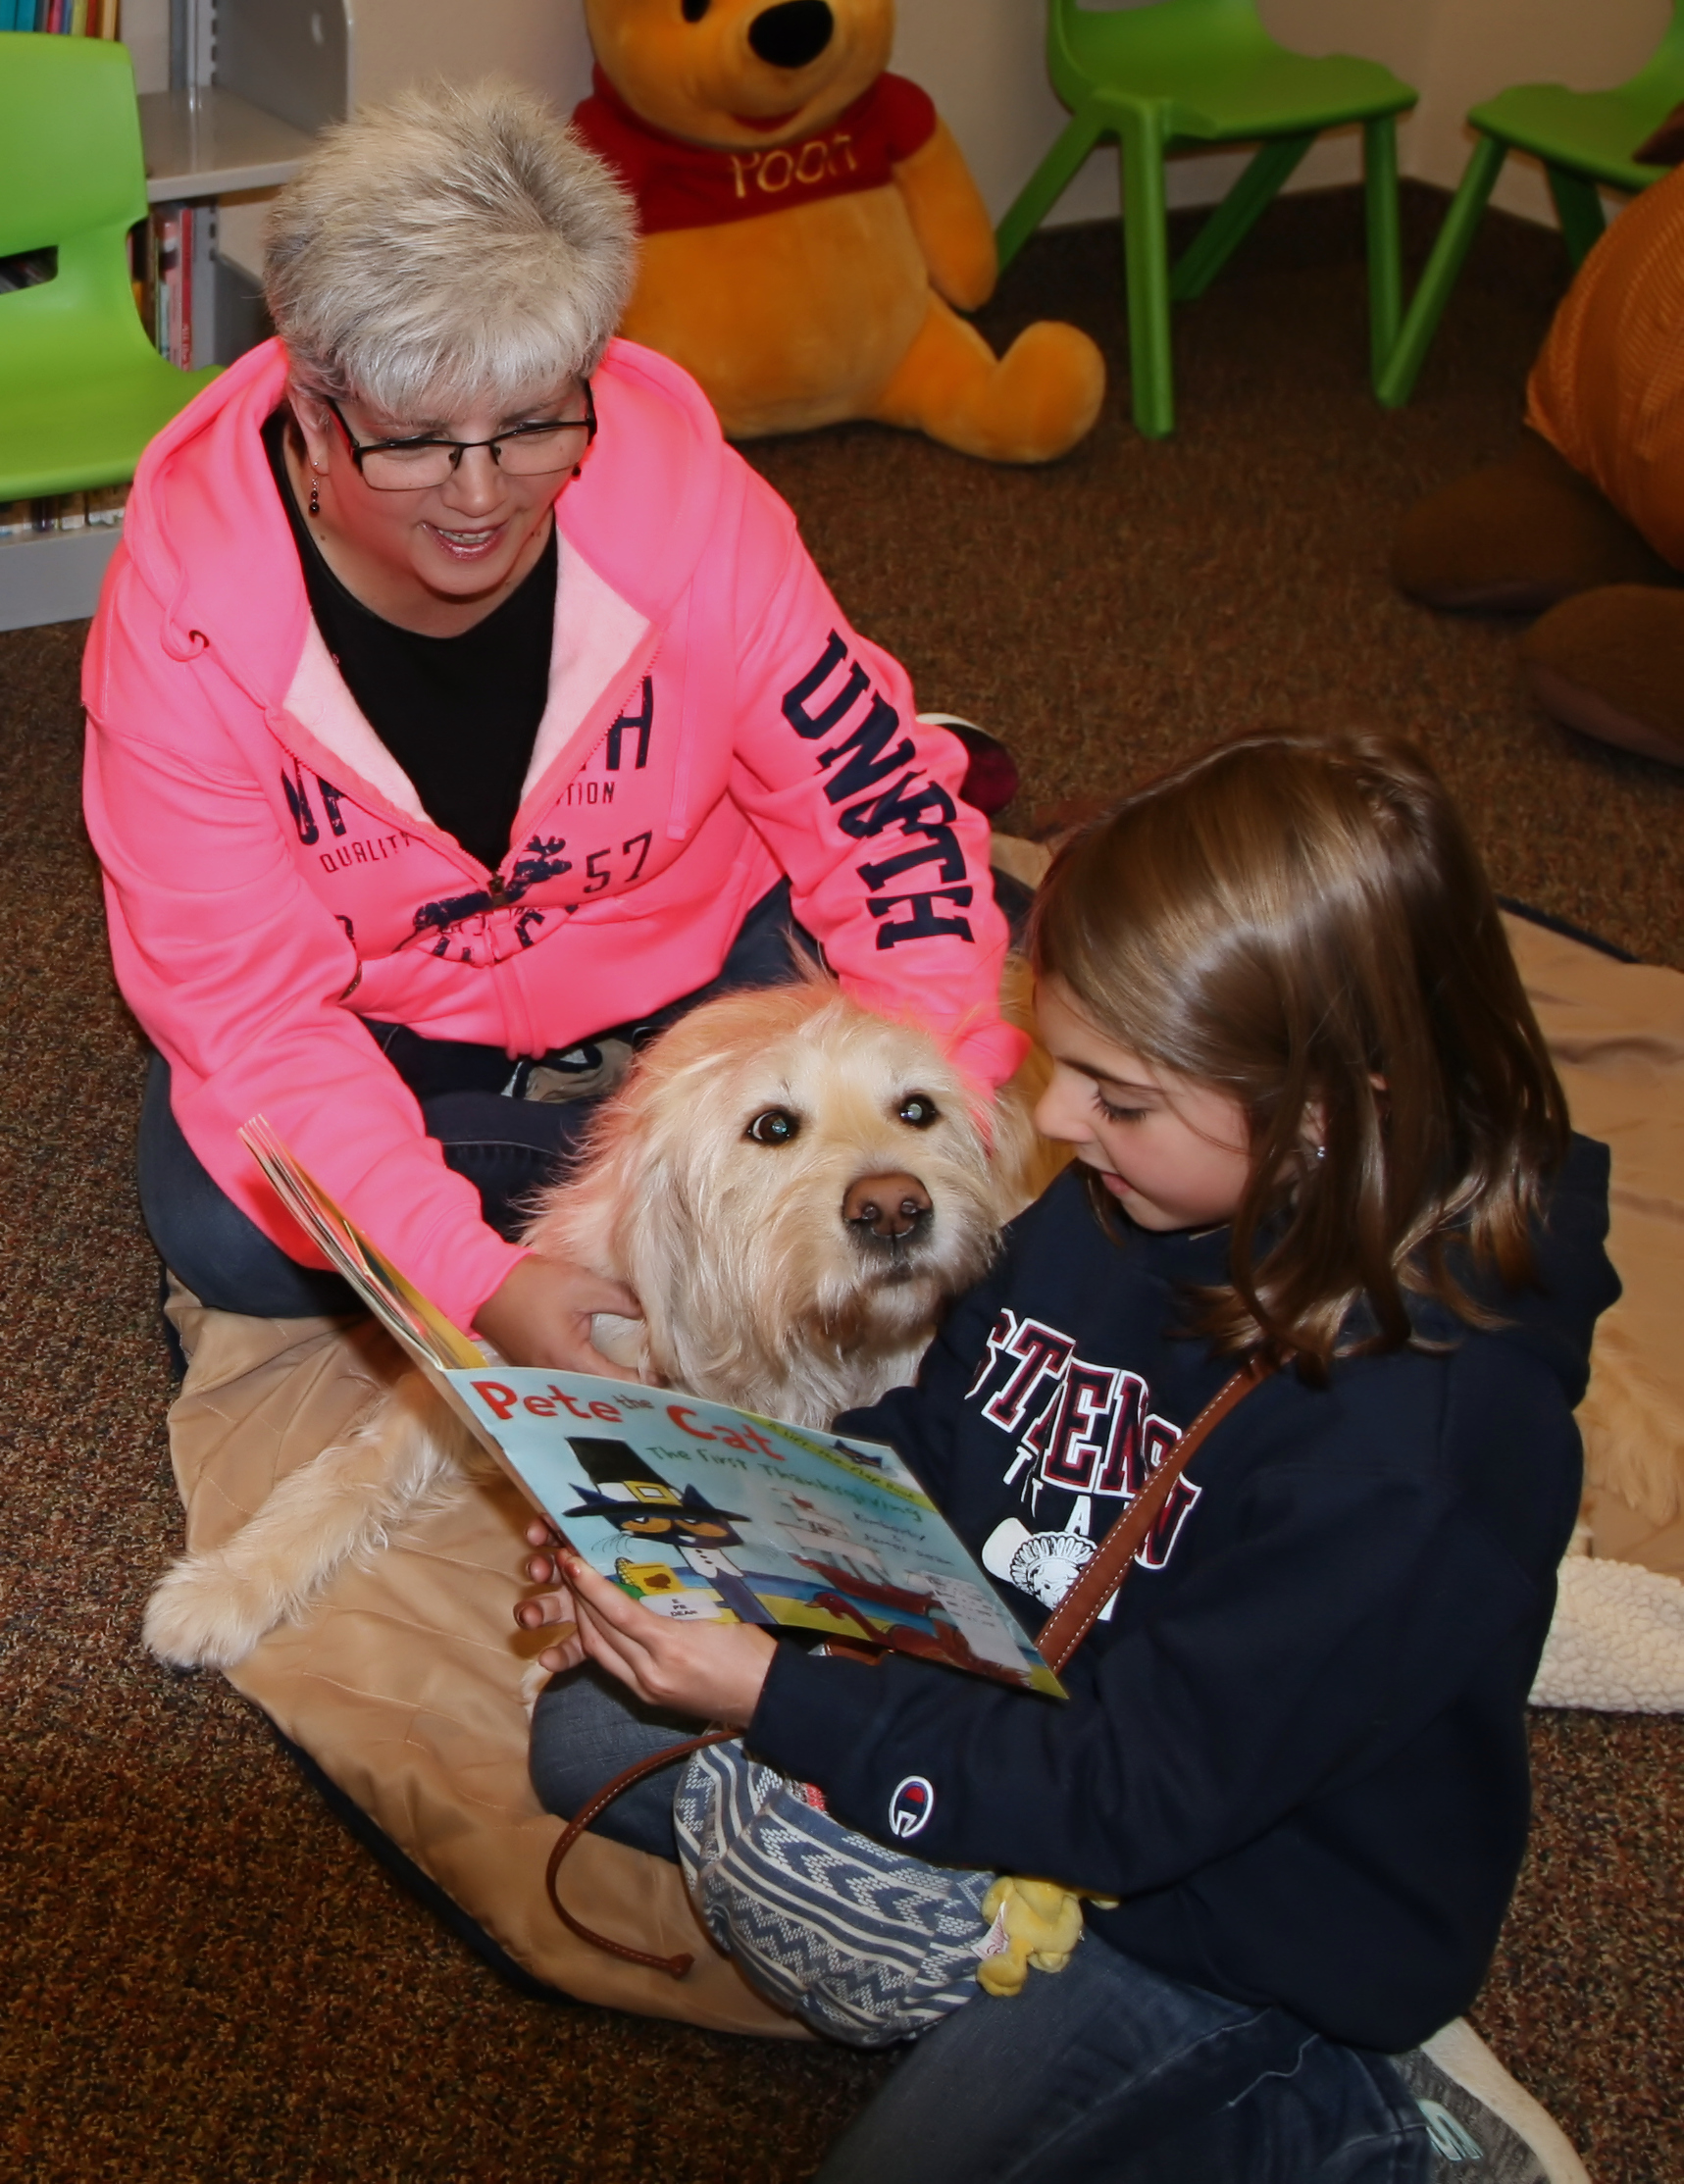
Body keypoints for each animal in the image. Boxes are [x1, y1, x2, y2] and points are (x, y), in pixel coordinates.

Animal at [145, 978, 1040, 1668]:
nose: (893, 1209)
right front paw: (222, 1587)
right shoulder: (498, 1364)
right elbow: (351, 1469)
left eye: (916, 1109)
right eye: (773, 1125)